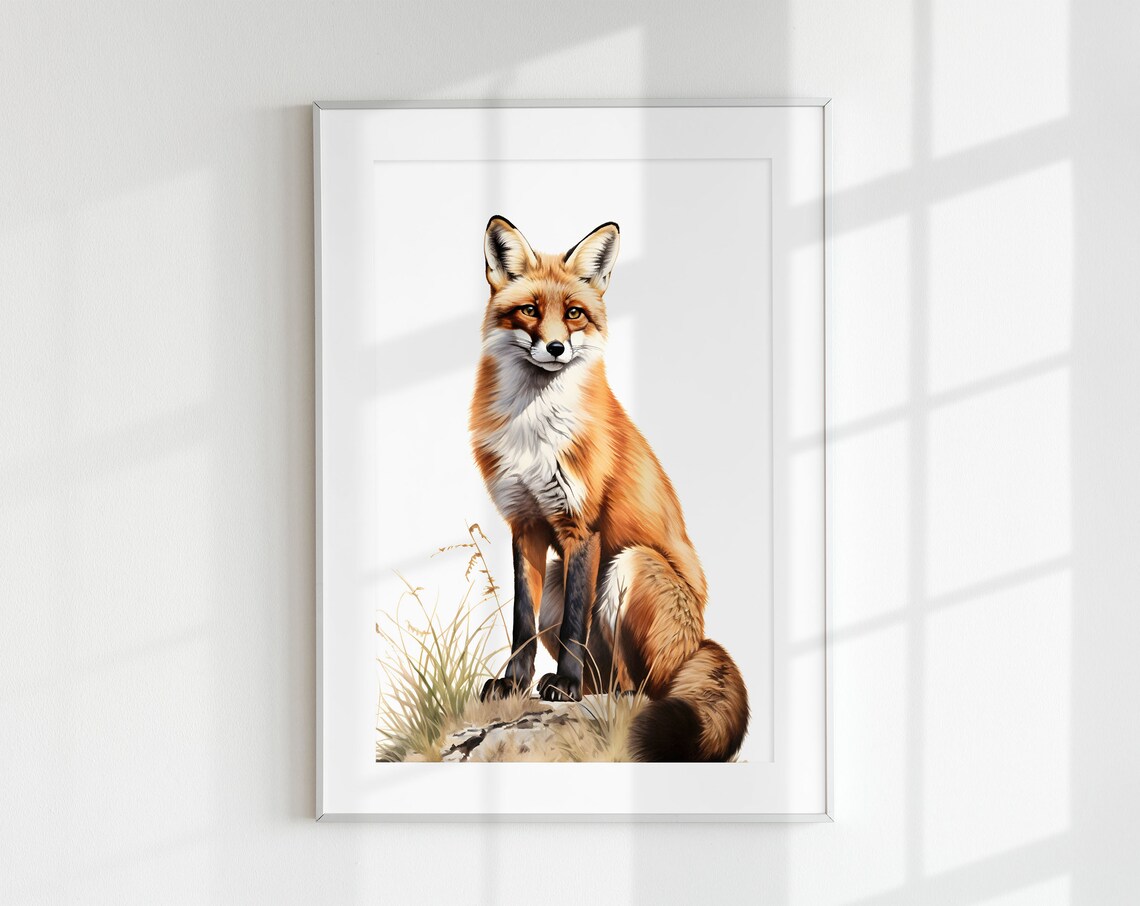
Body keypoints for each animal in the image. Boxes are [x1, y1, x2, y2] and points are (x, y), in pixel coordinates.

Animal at [469, 215, 749, 762]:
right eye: (530, 311)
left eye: (574, 314)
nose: (556, 348)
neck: (534, 434)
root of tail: (701, 640)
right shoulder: (525, 524)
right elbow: (521, 621)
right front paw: (513, 683)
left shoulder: (583, 528)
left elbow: (576, 625)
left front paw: (564, 685)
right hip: (560, 580)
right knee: (602, 674)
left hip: (629, 565)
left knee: (637, 686)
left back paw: (592, 690)